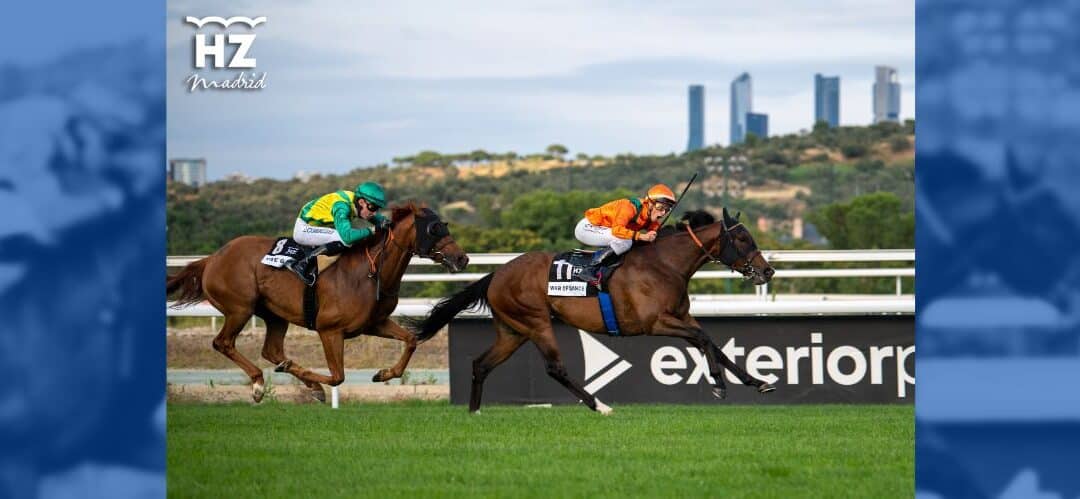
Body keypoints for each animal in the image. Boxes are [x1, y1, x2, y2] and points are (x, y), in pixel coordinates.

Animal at [166, 203, 466, 401]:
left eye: (444, 225)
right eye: (434, 228)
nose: (462, 258)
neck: (370, 272)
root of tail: (212, 258)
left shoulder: (374, 323)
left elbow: (411, 341)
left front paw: (383, 374)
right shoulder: (329, 330)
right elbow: (337, 376)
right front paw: (316, 384)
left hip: (275, 315)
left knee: (271, 350)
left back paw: (290, 372)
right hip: (239, 308)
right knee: (224, 342)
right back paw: (260, 383)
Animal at [412, 206, 777, 412]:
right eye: (742, 239)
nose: (768, 270)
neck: (665, 264)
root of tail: (497, 274)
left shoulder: (681, 317)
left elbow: (714, 344)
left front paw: (757, 381)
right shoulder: (655, 322)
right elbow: (703, 341)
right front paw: (719, 385)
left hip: (513, 331)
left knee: (481, 364)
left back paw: (474, 413)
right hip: (536, 322)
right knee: (554, 368)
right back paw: (599, 405)